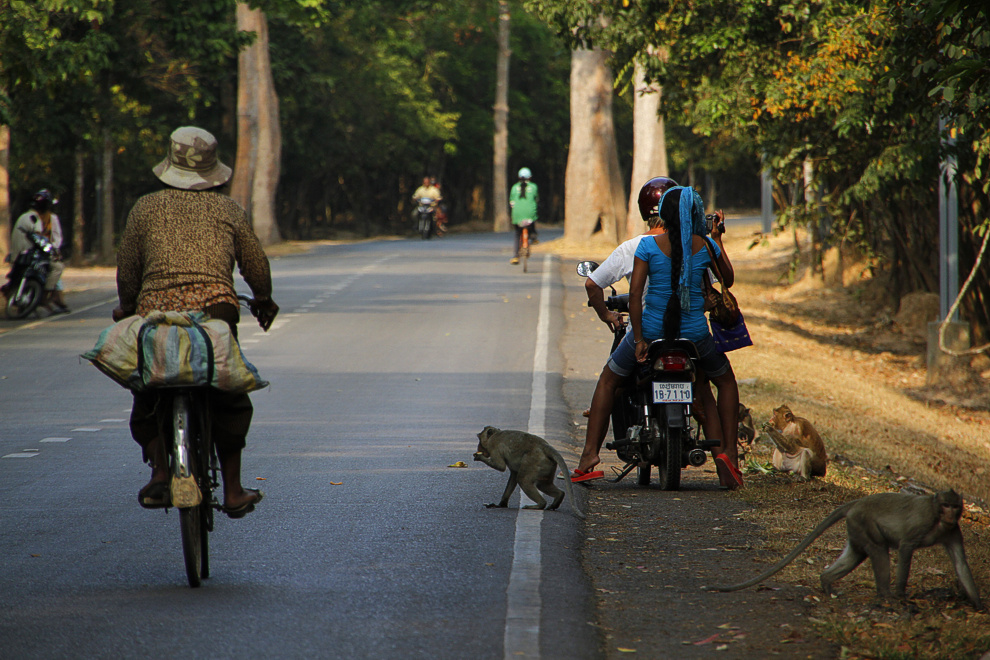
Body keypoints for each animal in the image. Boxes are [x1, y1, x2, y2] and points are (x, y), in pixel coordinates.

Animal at [704, 490, 984, 608]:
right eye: (946, 505)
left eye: (955, 506)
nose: (951, 514)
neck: (938, 518)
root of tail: (857, 502)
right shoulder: (923, 522)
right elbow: (905, 548)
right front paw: (900, 596)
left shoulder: (953, 531)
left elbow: (960, 564)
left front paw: (980, 606)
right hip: (863, 522)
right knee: (879, 551)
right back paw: (885, 596)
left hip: (856, 526)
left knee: (858, 554)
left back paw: (826, 581)